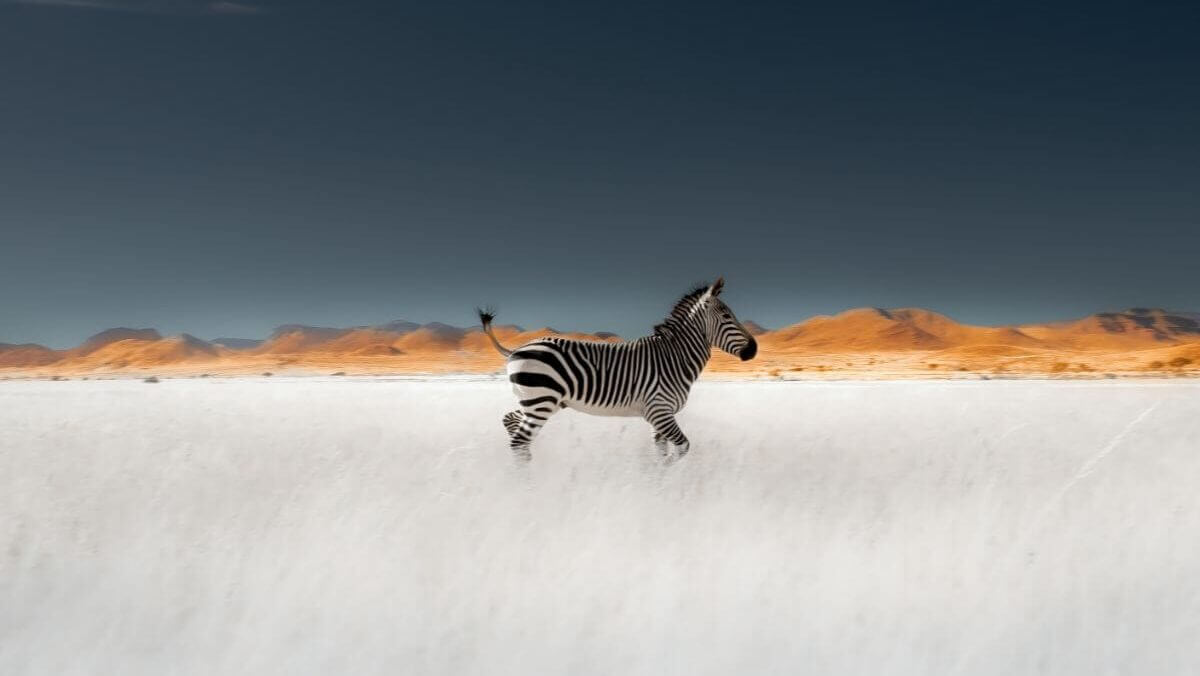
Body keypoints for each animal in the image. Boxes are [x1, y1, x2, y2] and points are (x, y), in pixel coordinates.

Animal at [479, 278, 757, 462]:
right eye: (726, 316)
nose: (754, 349)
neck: (674, 357)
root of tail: (515, 349)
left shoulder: (660, 416)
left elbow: (661, 453)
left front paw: (661, 486)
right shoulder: (659, 411)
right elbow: (682, 449)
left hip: (541, 401)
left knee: (512, 424)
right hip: (541, 401)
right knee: (519, 440)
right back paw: (527, 489)